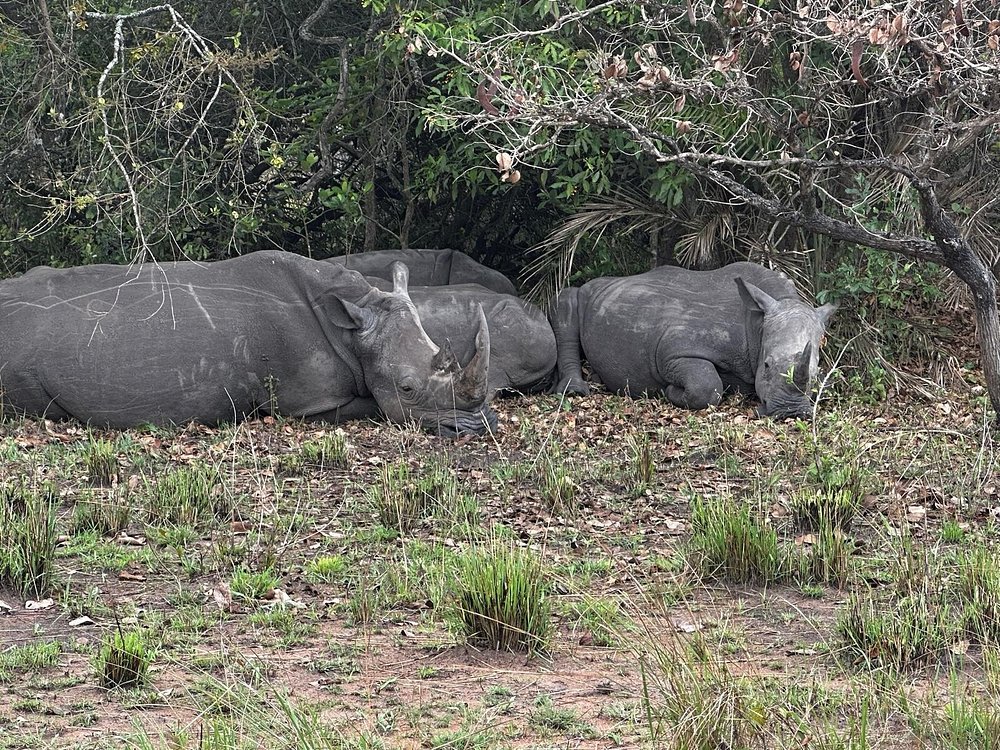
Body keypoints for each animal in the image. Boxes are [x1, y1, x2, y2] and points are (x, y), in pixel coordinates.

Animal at [551, 262, 836, 418]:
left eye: (816, 372)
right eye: (766, 365)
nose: (790, 411)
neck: (757, 325)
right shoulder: (675, 351)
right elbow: (707, 387)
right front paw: (669, 391)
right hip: (582, 293)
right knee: (564, 301)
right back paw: (576, 391)